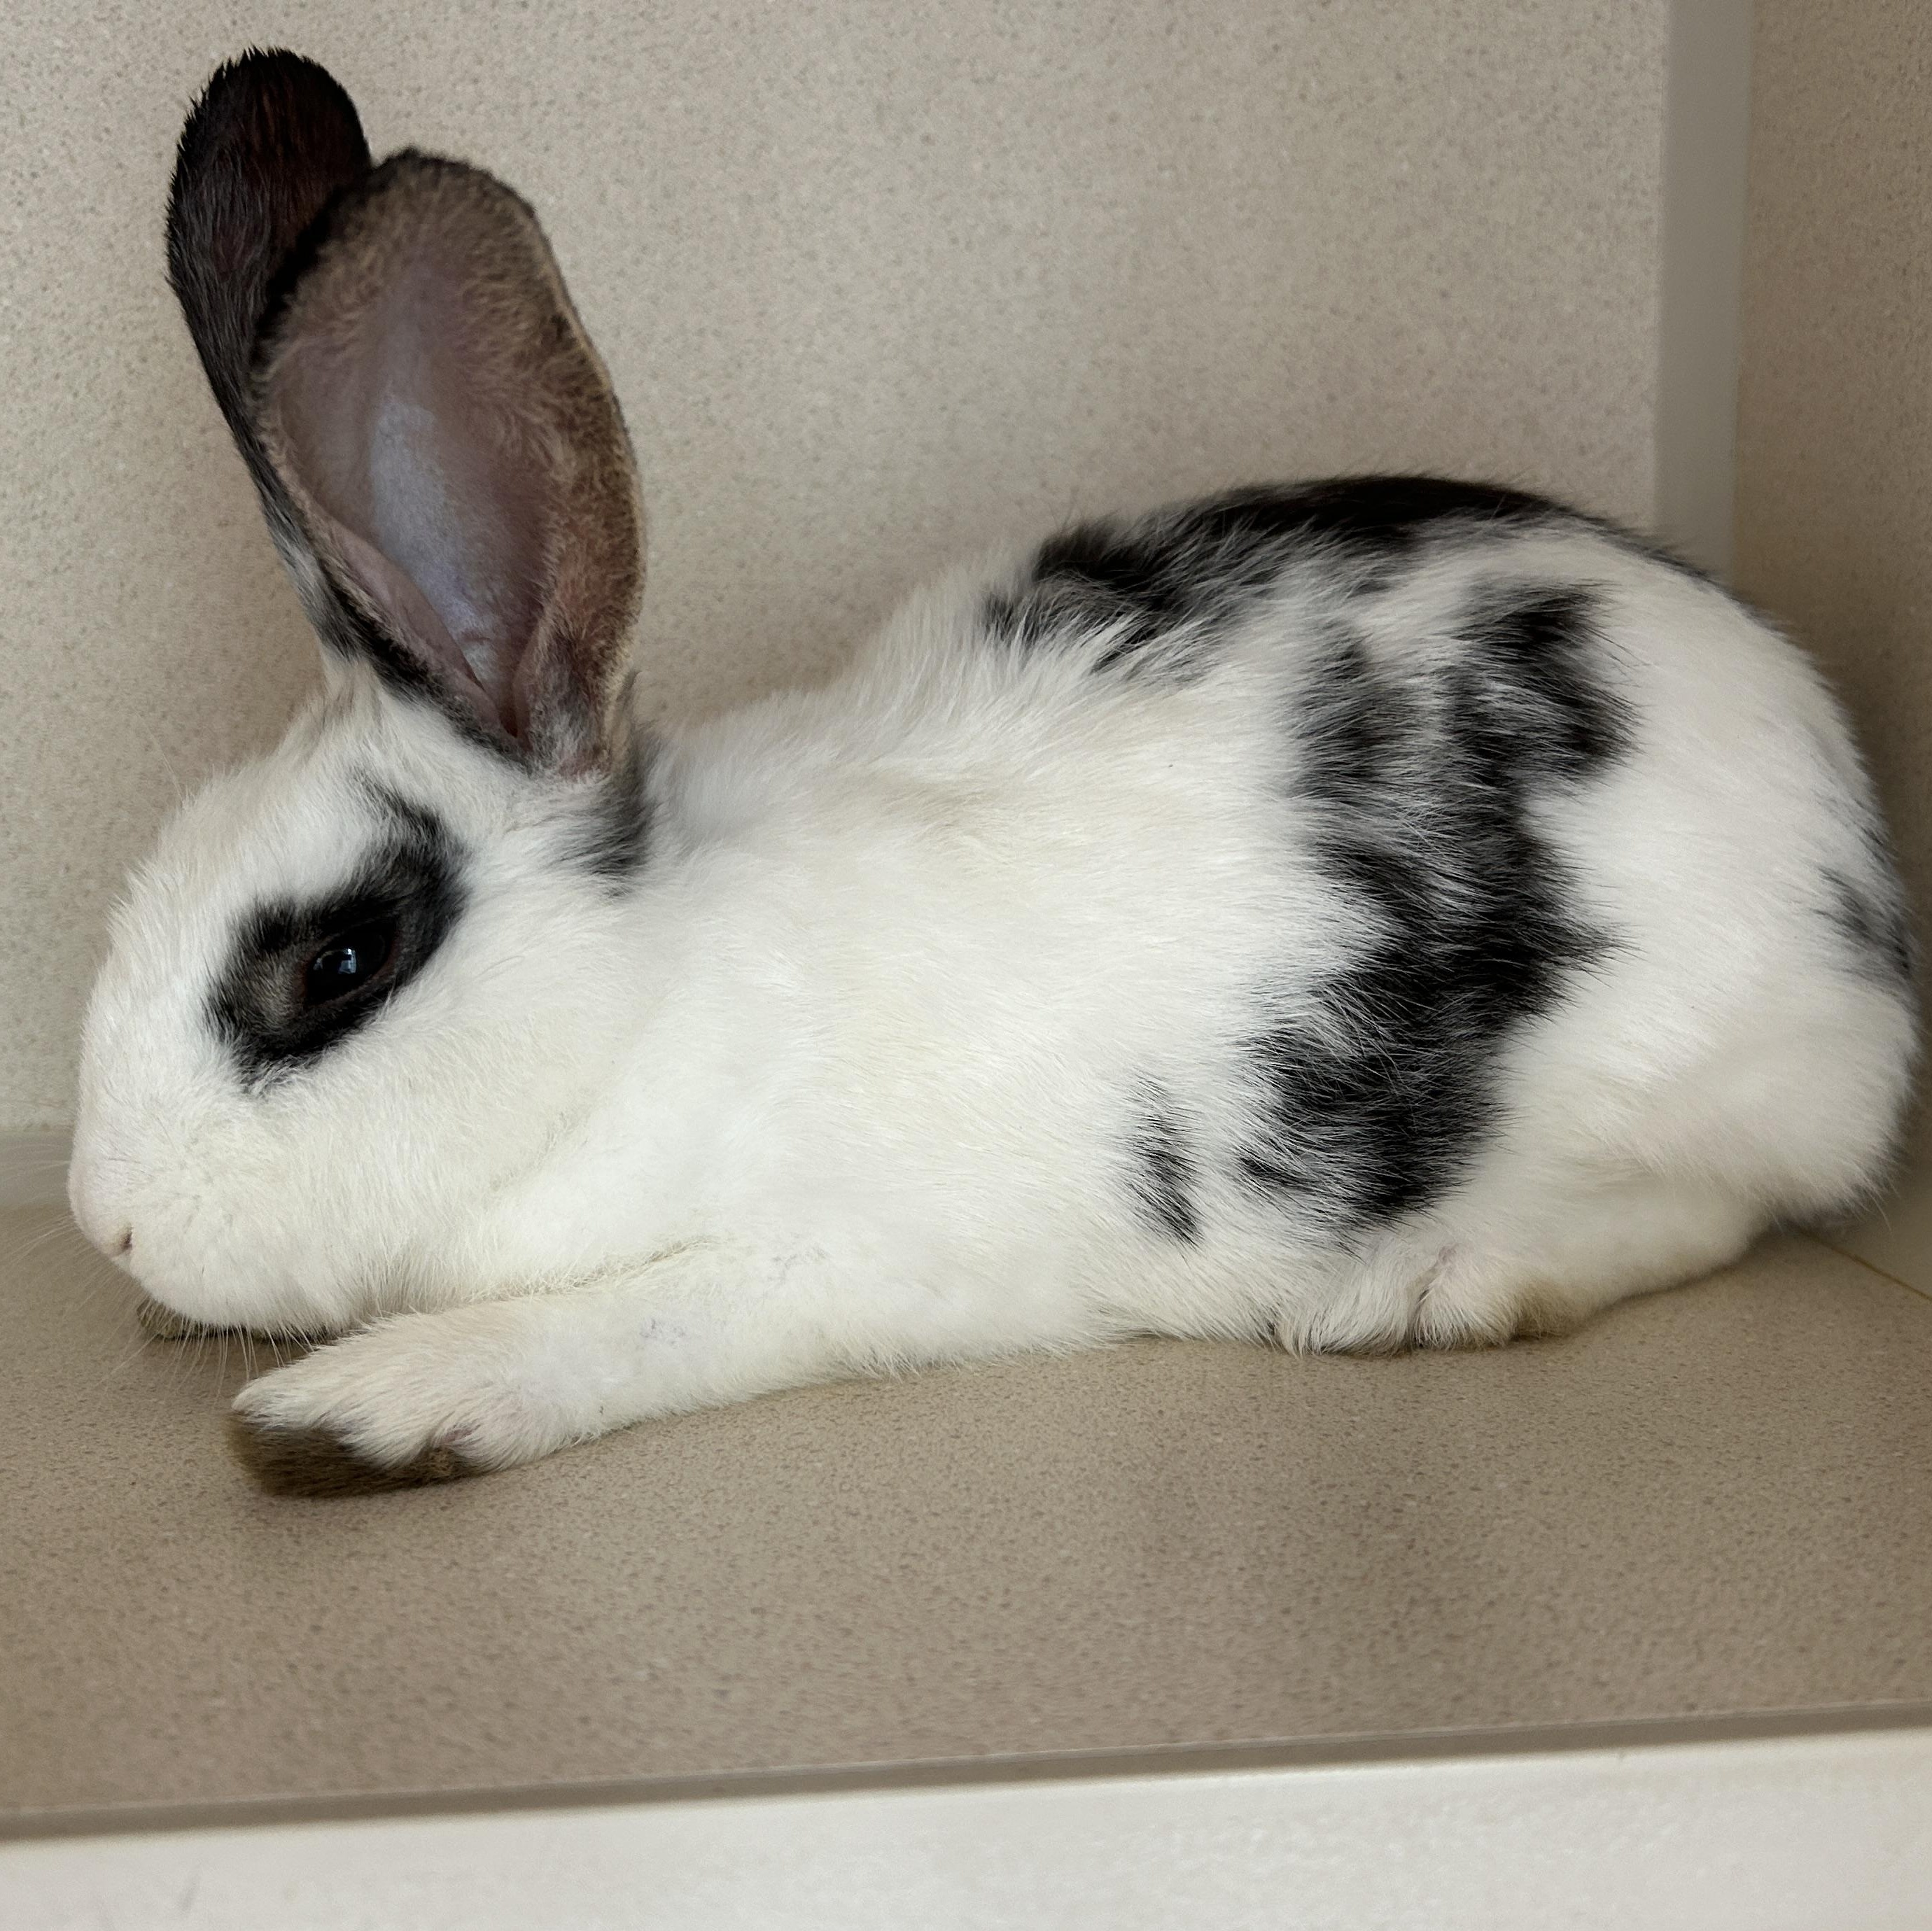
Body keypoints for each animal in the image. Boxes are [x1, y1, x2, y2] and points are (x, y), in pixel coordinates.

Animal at [67, 49, 1917, 1496]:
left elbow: (621, 1326)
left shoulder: (825, 1263)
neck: (637, 1009)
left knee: (1712, 1211)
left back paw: (1433, 1285)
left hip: (1699, 1073)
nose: (107, 1224)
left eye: (339, 959)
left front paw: (359, 1409)